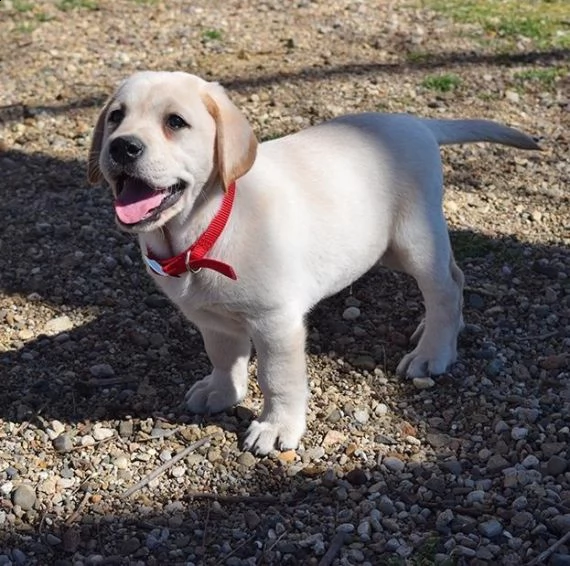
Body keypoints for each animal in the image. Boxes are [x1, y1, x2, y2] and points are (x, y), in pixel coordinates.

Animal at [87, 71, 536, 458]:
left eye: (175, 122)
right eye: (115, 117)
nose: (122, 147)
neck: (205, 228)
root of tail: (417, 124)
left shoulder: (276, 321)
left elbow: (278, 379)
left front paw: (275, 427)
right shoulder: (212, 319)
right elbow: (222, 356)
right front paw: (222, 392)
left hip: (415, 240)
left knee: (444, 287)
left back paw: (433, 351)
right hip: (381, 245)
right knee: (453, 278)